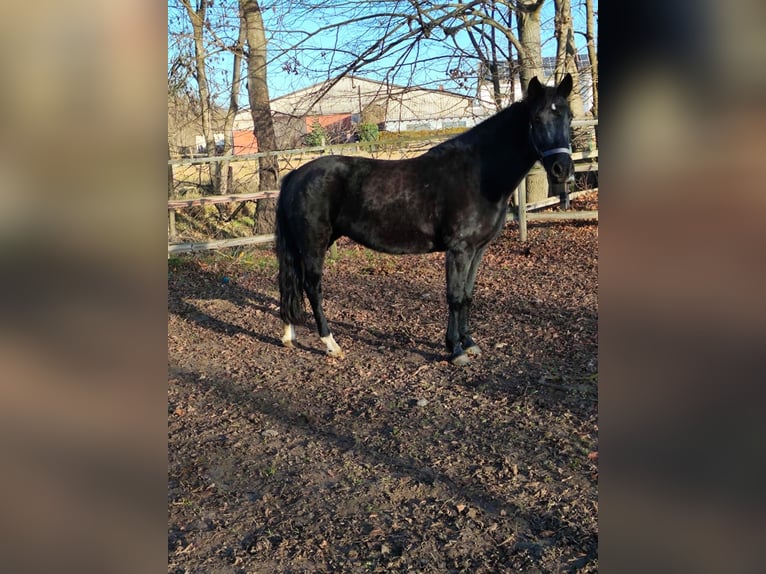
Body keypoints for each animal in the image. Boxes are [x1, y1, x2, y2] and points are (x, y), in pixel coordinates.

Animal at [275, 74, 574, 366]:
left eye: (568, 117)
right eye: (537, 119)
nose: (562, 169)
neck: (478, 174)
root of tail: (295, 175)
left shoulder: (478, 250)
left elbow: (467, 295)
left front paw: (469, 343)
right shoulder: (459, 250)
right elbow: (454, 297)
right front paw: (456, 350)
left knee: (290, 281)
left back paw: (289, 335)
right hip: (314, 244)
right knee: (311, 286)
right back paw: (331, 344)